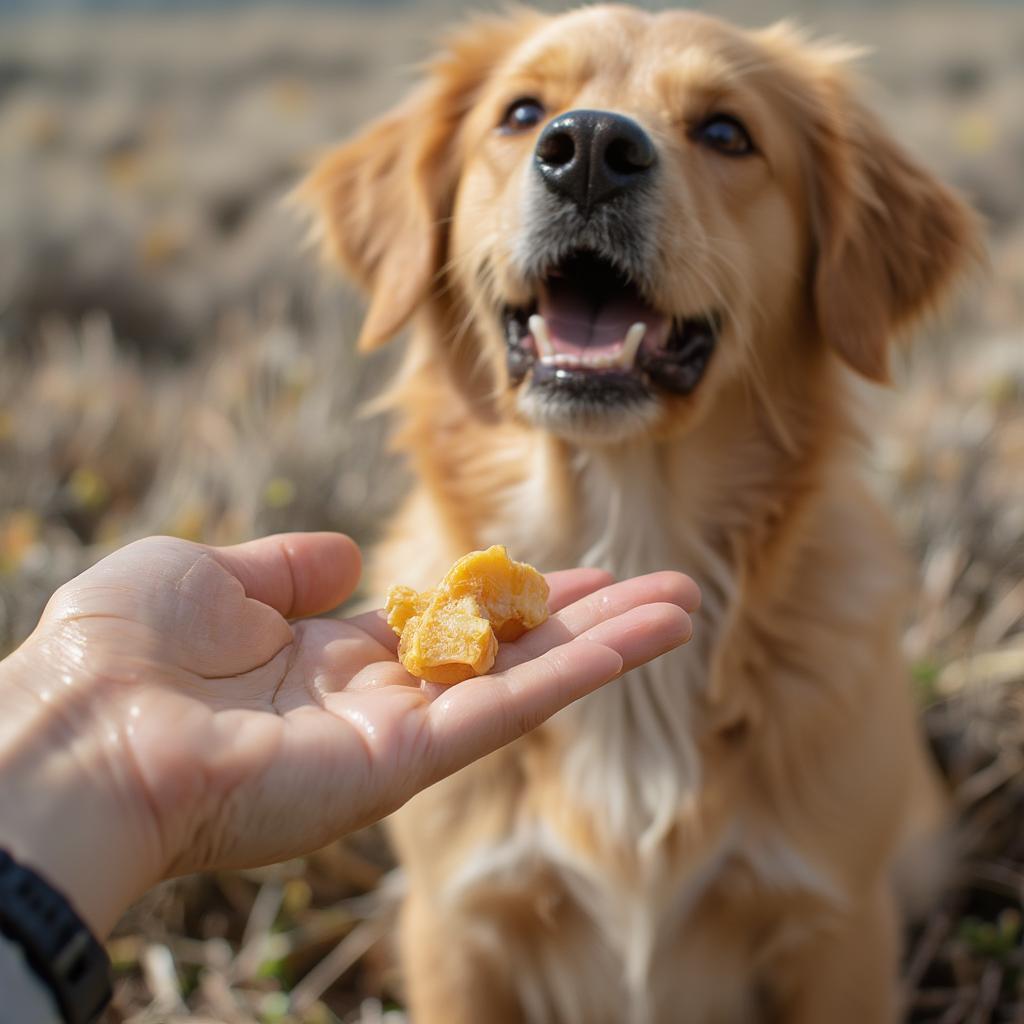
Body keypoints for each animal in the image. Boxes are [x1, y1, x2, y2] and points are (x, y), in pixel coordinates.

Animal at [294, 4, 974, 1019]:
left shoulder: (838, 928)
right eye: (520, 111)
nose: (587, 150)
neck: (625, 509)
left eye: (728, 132)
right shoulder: (457, 926)